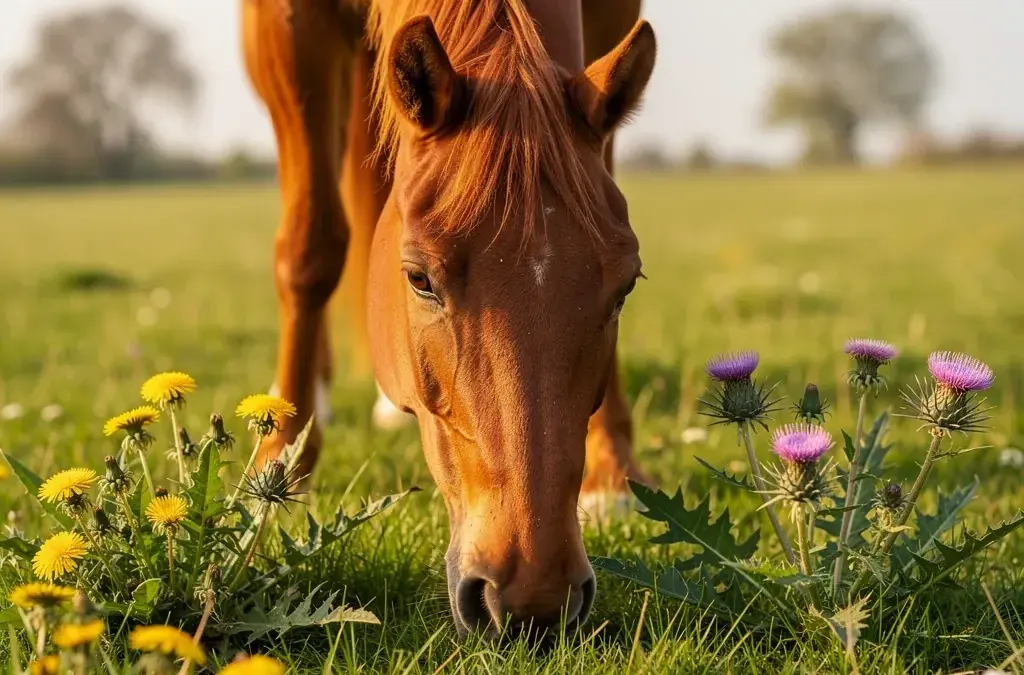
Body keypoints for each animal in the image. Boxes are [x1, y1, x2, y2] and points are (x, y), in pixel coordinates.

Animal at [241, 0, 656, 634]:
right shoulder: (286, 25)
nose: (533, 601)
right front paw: (280, 461)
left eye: (626, 285)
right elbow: (311, 247)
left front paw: (611, 473)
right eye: (419, 279)